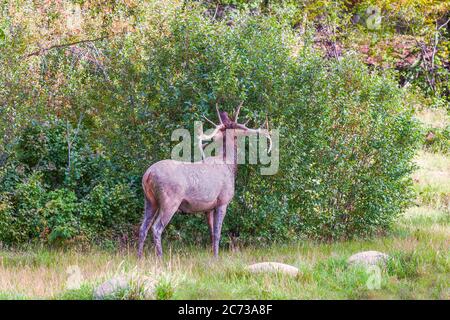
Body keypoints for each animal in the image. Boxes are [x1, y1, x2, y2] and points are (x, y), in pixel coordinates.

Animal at [137, 102, 270, 258]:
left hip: (149, 201)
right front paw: (217, 257)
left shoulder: (208, 208)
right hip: (170, 201)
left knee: (143, 227)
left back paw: (139, 257)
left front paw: (213, 255)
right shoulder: (223, 201)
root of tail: (148, 175)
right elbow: (218, 233)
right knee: (156, 228)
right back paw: (160, 257)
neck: (229, 164)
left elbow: (211, 233)